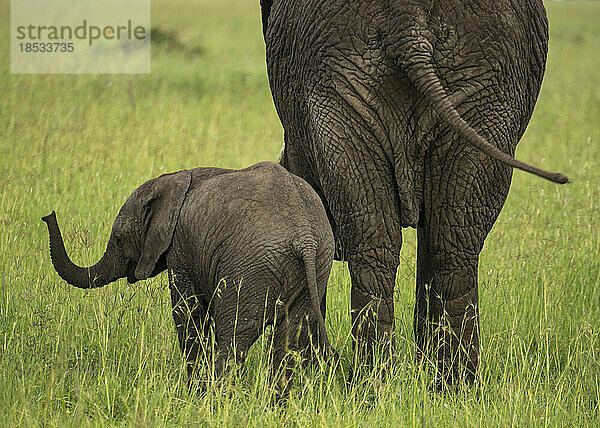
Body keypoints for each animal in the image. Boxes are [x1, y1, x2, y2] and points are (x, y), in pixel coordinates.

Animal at [43, 162, 338, 396]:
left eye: (118, 240)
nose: (48, 215)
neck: (170, 180)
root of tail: (304, 237)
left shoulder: (180, 248)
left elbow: (187, 312)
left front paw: (193, 391)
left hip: (250, 268)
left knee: (234, 337)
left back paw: (213, 401)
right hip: (316, 266)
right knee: (289, 340)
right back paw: (274, 406)